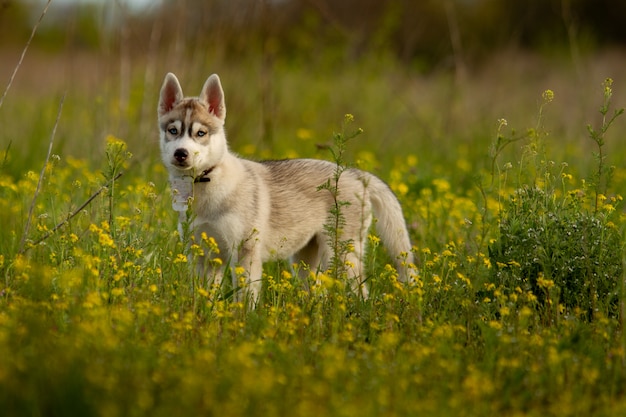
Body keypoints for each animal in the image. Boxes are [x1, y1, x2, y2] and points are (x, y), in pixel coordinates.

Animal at [157, 72, 414, 302]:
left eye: (200, 133)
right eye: (173, 131)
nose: (181, 153)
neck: (205, 186)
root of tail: (354, 173)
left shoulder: (245, 253)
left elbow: (244, 300)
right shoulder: (203, 257)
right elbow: (203, 298)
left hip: (341, 256)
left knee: (362, 293)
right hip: (304, 261)